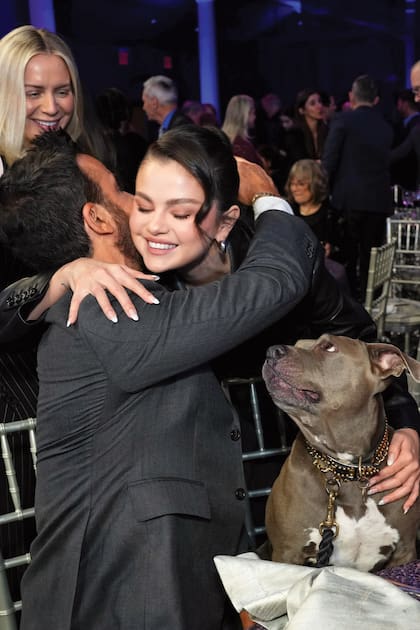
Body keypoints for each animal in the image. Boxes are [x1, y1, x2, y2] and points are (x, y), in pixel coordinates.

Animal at [262, 336, 420, 572]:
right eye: (297, 344)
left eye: (328, 346)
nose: (271, 351)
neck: (350, 468)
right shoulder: (286, 554)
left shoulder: (405, 552)